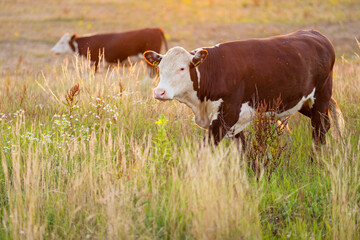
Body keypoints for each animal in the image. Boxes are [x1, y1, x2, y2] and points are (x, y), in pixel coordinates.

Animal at [145, 30, 344, 146]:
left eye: (182, 68)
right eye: (159, 68)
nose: (159, 92)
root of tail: (316, 34)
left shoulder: (226, 116)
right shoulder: (233, 122)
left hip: (322, 96)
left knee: (319, 129)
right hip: (302, 101)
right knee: (326, 123)